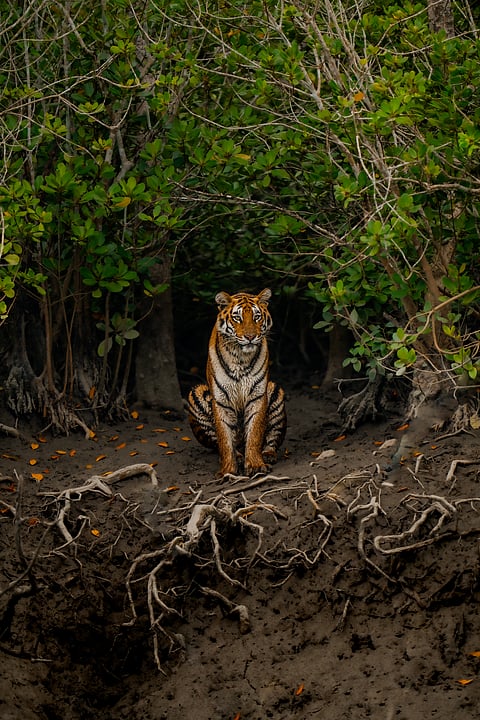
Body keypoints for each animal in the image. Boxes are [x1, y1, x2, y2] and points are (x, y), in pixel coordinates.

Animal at [188, 288, 286, 478]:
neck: (240, 358)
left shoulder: (258, 395)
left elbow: (254, 433)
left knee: (272, 438)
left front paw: (255, 465)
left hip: (274, 389)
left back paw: (267, 455)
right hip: (196, 393)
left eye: (257, 317)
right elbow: (225, 439)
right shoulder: (220, 400)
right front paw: (227, 471)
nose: (250, 337)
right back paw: (239, 457)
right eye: (237, 318)